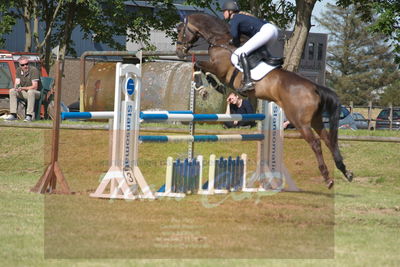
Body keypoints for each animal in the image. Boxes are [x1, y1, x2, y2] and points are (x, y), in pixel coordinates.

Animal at [175, 12, 354, 188]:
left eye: (179, 30)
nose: (178, 52)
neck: (220, 40)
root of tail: (315, 88)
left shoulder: (219, 68)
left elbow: (198, 64)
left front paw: (204, 87)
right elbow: (200, 66)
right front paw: (212, 86)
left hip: (299, 121)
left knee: (316, 143)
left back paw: (327, 178)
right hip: (316, 120)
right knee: (329, 140)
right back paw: (346, 171)